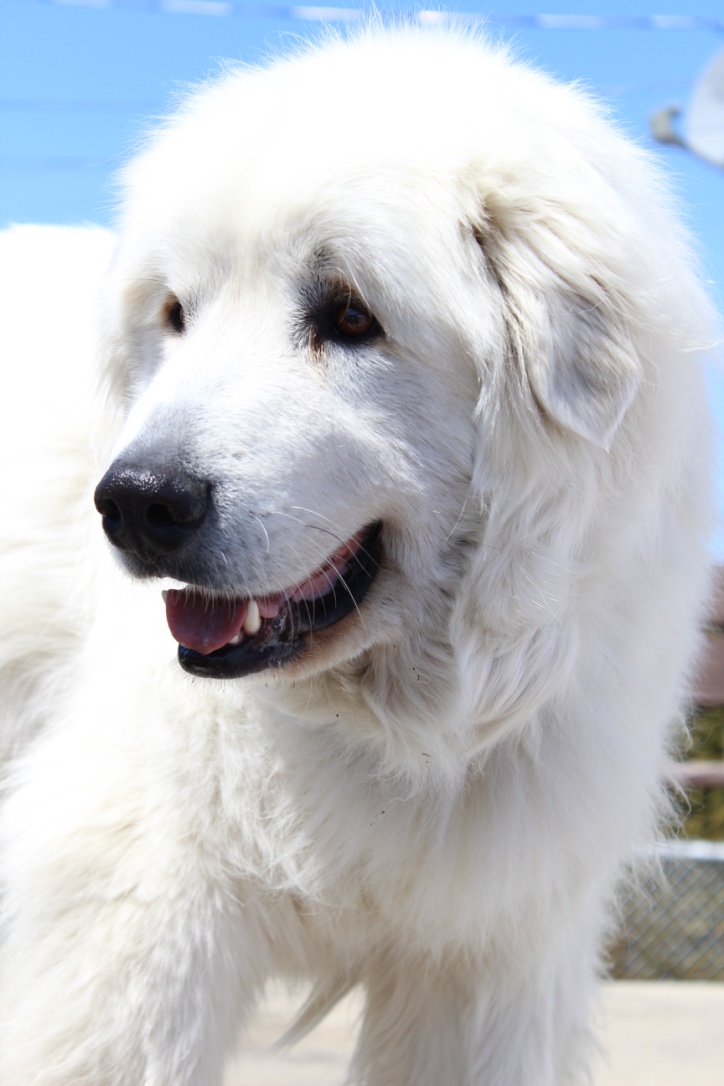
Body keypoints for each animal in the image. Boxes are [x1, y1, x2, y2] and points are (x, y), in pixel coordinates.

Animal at [0, 22, 716, 1086]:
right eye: (177, 314)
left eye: (349, 316)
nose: (134, 502)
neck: (402, 728)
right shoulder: (134, 936)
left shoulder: (486, 970)